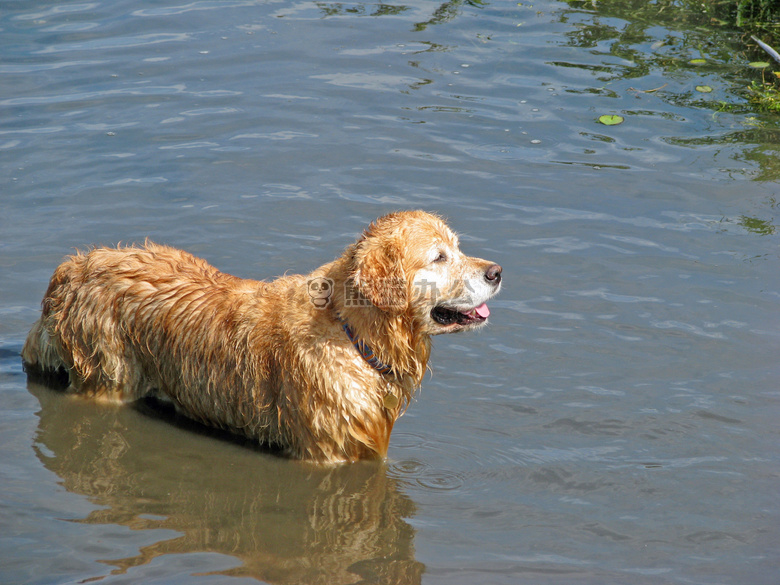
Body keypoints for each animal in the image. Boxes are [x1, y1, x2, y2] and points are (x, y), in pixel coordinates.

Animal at [24, 210, 502, 460]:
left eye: (458, 248)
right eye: (439, 257)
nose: (496, 271)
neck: (351, 333)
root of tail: (74, 266)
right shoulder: (327, 451)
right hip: (107, 376)